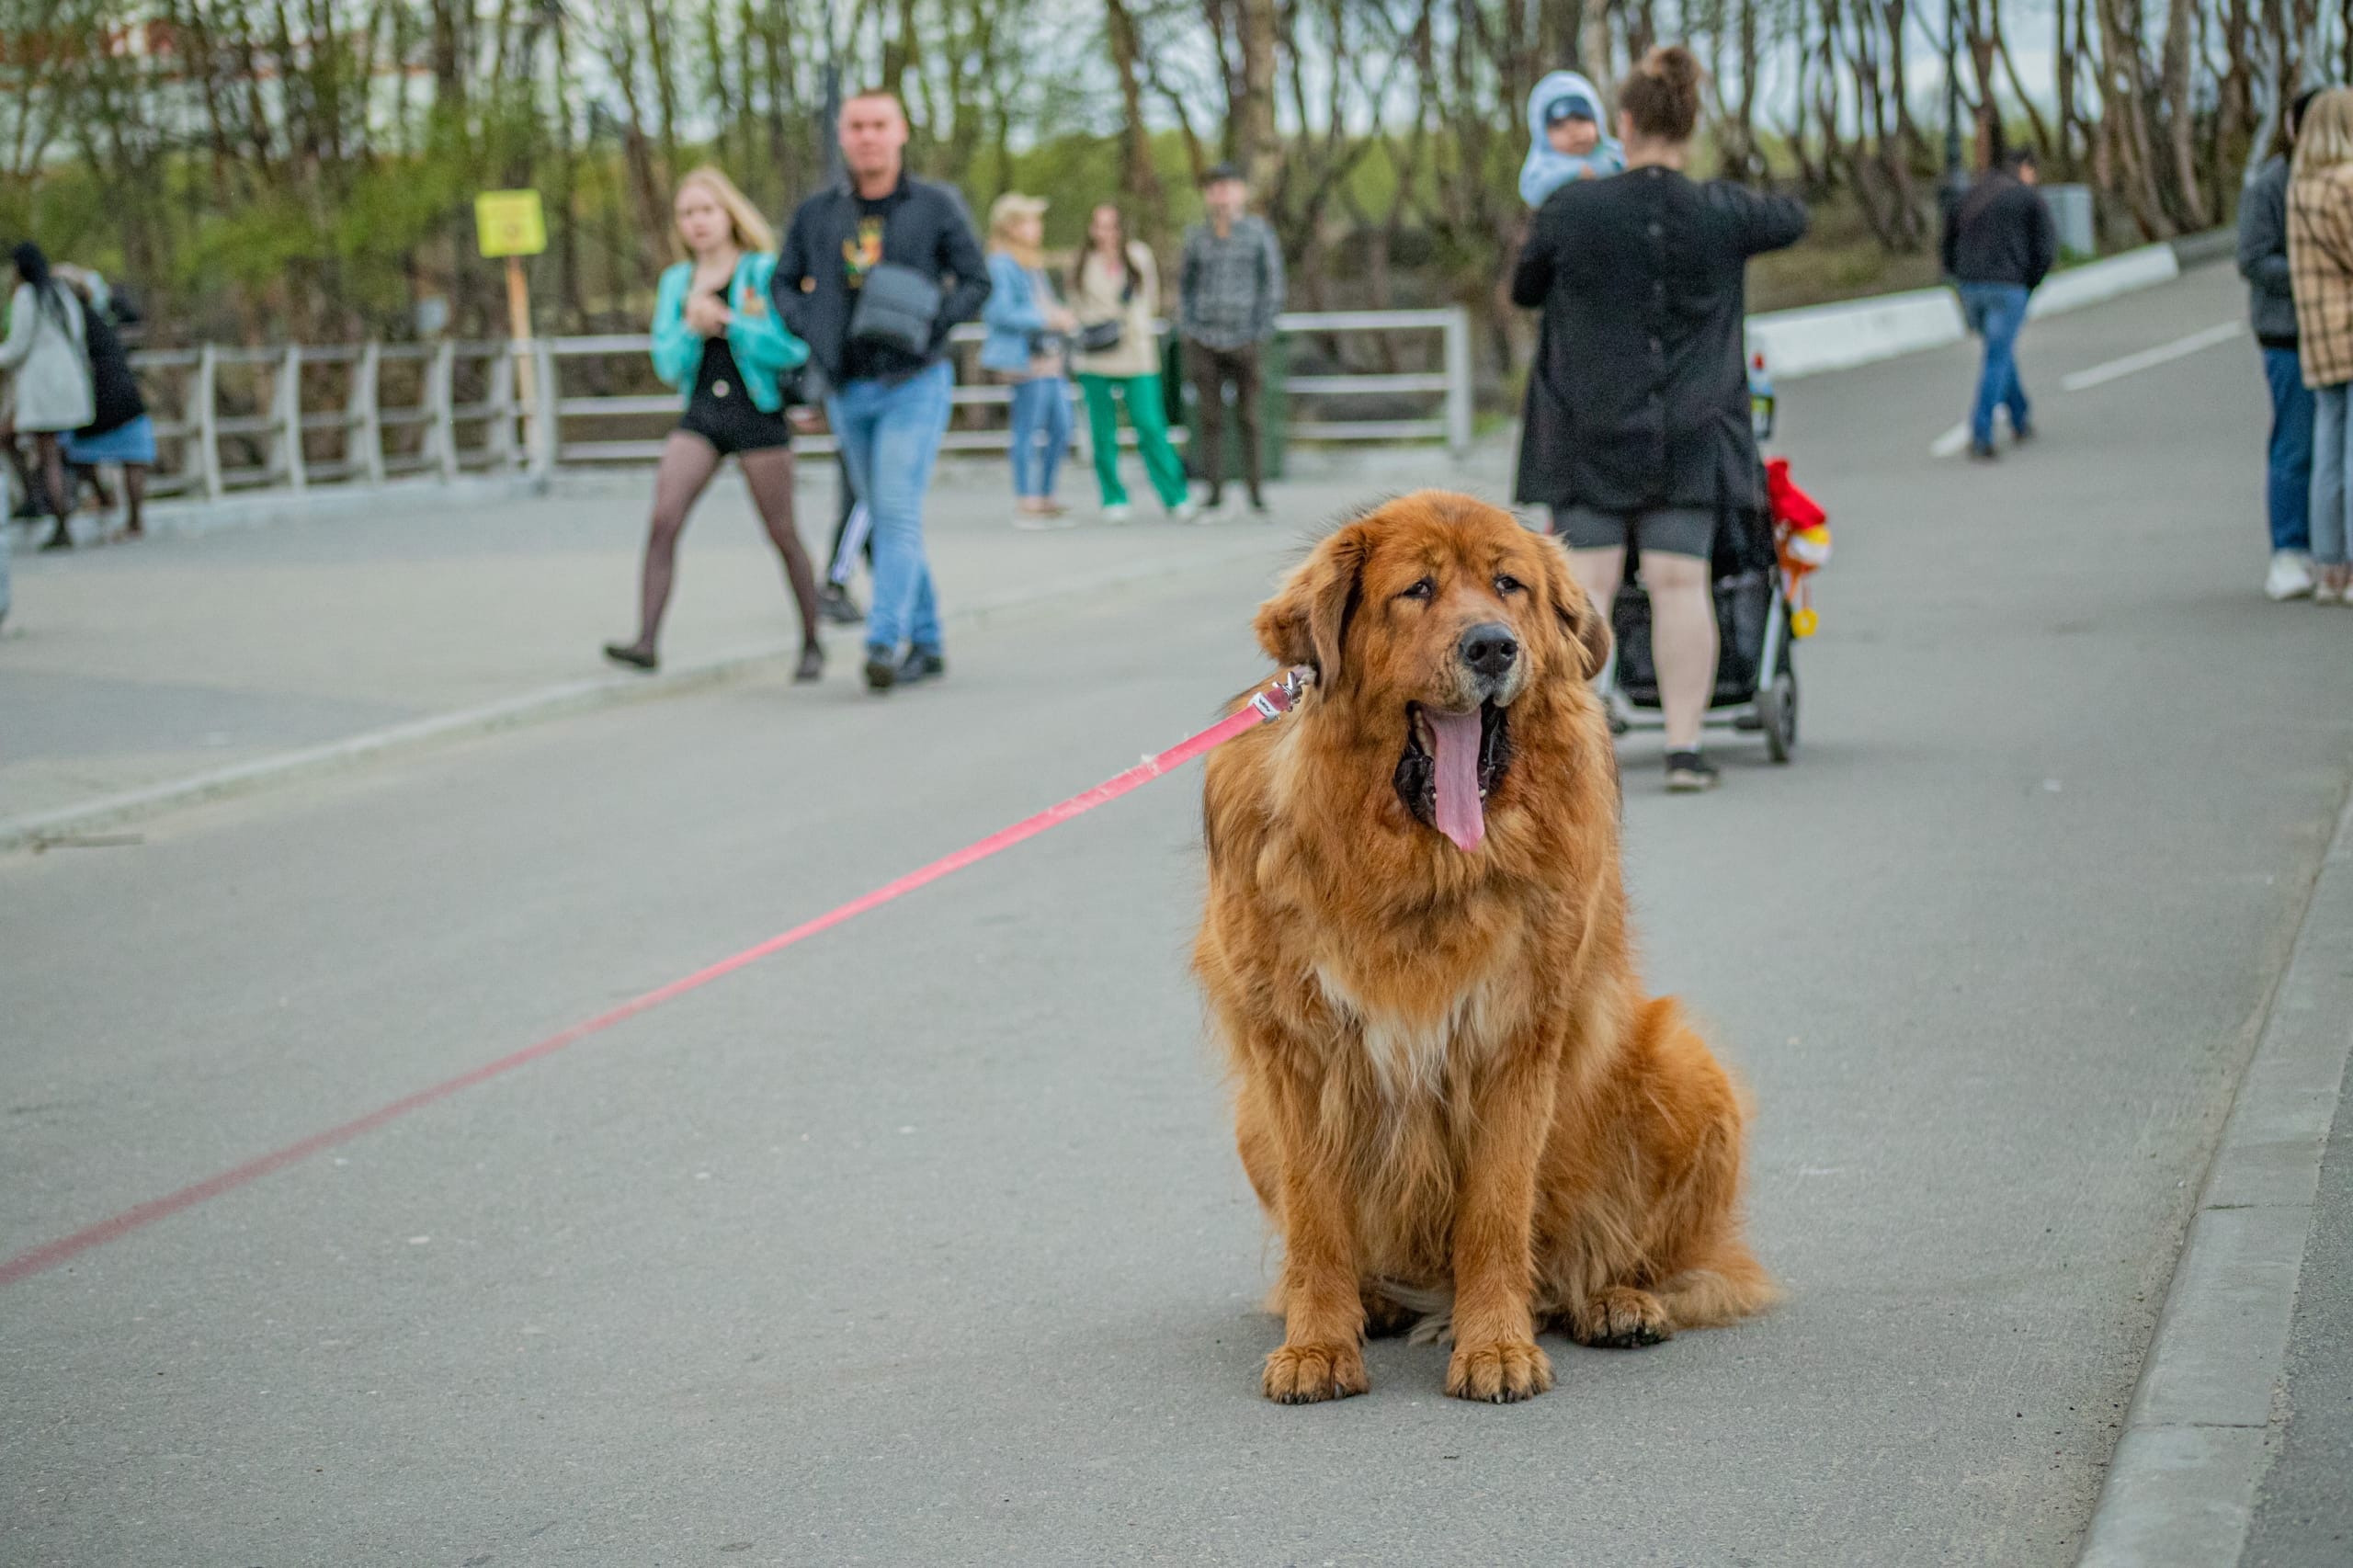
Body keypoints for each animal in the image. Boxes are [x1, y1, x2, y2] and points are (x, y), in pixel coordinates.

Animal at [1195, 492, 1769, 1403]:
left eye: (1509, 585)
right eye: (1418, 590)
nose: (1493, 646)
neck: (1418, 869)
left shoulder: (1515, 1039)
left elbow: (1496, 1211)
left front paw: (1495, 1345)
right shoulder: (1296, 1054)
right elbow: (1316, 1220)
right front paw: (1317, 1345)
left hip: (1687, 1063)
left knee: (1627, 1258)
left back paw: (1615, 1301)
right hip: (1252, 1121)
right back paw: (1371, 1303)